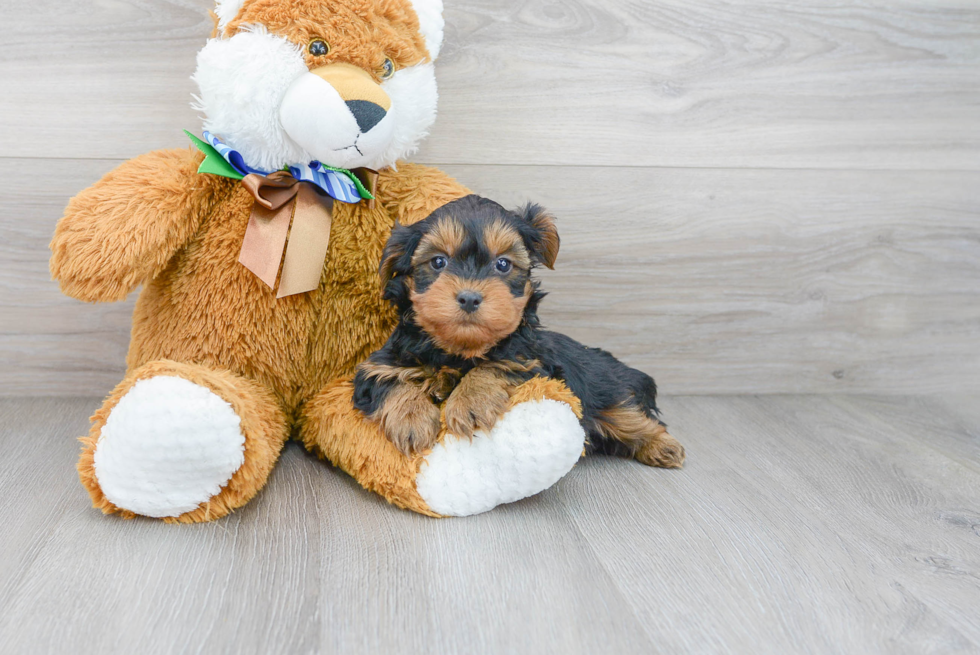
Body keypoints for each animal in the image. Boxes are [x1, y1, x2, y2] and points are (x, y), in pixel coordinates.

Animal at [356, 192, 684, 468]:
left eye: (503, 264)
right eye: (438, 261)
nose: (469, 297)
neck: (459, 350)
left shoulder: (534, 362)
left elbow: (496, 365)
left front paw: (470, 401)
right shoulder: (377, 367)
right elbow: (390, 381)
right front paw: (411, 419)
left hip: (603, 387)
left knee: (626, 414)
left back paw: (663, 446)